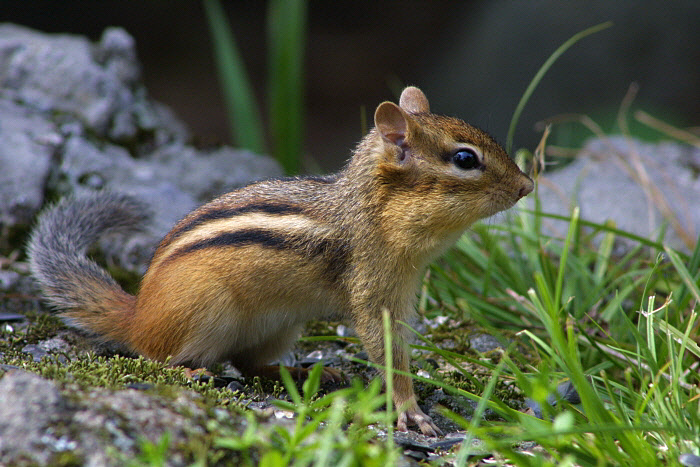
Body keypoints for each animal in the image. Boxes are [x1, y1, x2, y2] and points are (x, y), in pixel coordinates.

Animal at [28, 86, 533, 436]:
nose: (528, 185)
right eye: (465, 159)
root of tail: (138, 313)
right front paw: (409, 409)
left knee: (247, 362)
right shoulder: (373, 291)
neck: (372, 213)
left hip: (282, 325)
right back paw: (192, 370)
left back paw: (301, 370)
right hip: (205, 310)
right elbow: (386, 349)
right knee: (160, 357)